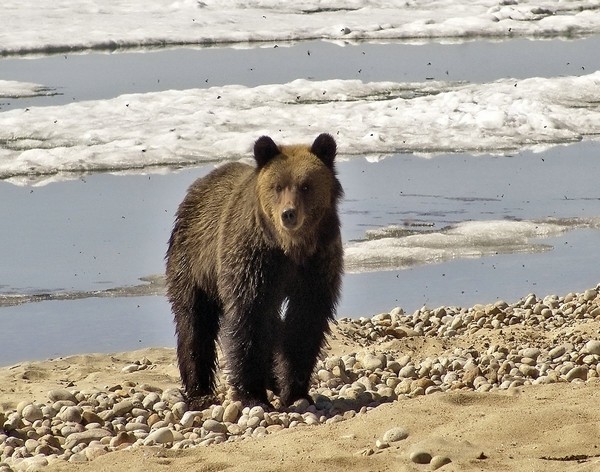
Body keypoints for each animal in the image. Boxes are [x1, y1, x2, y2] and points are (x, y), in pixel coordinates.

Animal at [165, 133, 342, 410]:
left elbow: (304, 322)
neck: (291, 248)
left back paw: (273, 380)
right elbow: (249, 317)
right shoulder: (255, 261)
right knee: (193, 323)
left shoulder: (316, 264)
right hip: (192, 261)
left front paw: (296, 391)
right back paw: (199, 391)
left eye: (305, 186)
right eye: (278, 186)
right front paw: (252, 395)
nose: (288, 214)